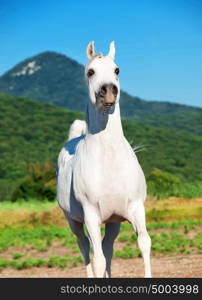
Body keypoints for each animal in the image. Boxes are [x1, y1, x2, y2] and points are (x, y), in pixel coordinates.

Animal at [56, 41, 152, 278]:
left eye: (117, 70)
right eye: (90, 72)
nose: (109, 91)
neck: (110, 161)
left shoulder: (136, 208)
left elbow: (144, 243)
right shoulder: (91, 215)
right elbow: (97, 258)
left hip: (112, 222)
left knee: (108, 246)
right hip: (73, 221)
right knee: (84, 246)